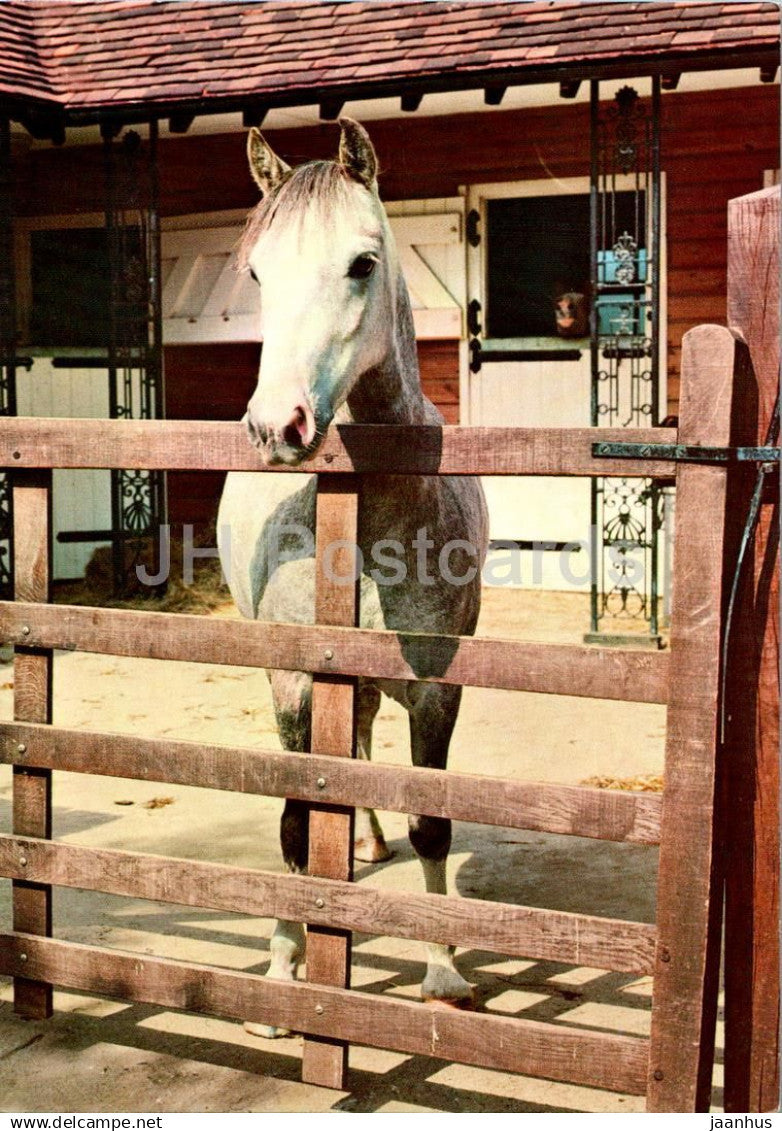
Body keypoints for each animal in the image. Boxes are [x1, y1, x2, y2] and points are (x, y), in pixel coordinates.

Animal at [217, 119, 488, 1036]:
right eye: (258, 271)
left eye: (361, 263)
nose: (279, 426)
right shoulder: (296, 682)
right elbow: (298, 822)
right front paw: (283, 967)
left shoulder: (437, 687)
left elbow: (433, 826)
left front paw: (442, 969)